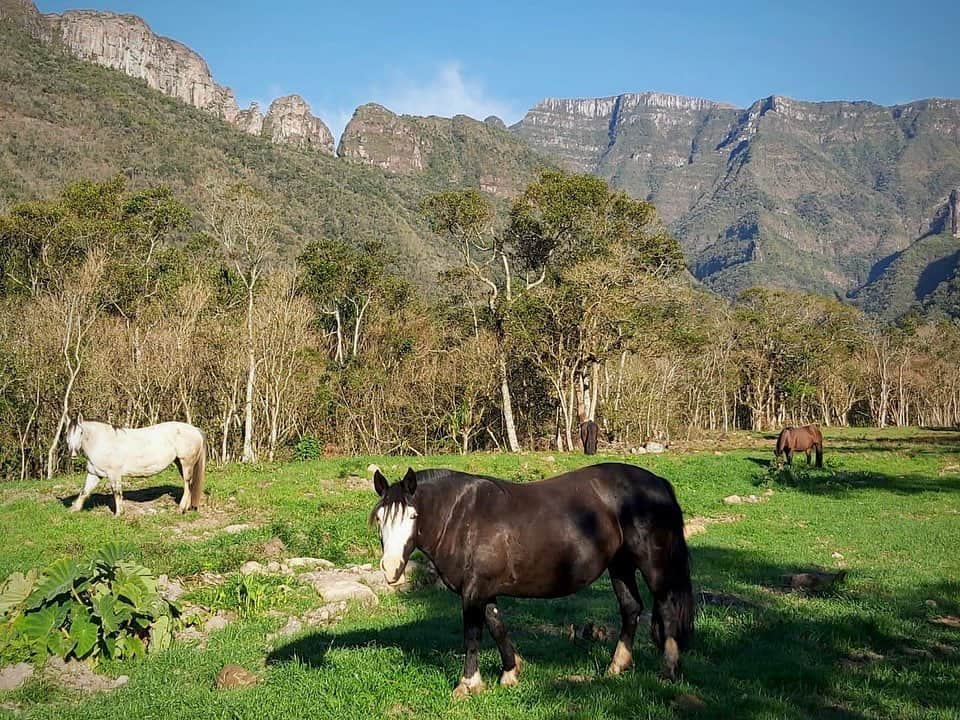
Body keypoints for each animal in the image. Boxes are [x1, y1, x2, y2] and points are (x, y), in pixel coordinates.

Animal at [65, 414, 206, 516]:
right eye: (67, 433)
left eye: (81, 432)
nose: (73, 454)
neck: (103, 442)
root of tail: (195, 430)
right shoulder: (94, 474)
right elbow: (84, 492)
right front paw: (74, 510)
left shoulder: (113, 474)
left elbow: (117, 492)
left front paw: (119, 514)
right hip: (180, 464)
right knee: (190, 485)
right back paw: (187, 508)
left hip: (186, 463)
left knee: (188, 485)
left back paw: (180, 509)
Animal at [372, 462, 692, 696]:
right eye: (379, 518)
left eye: (412, 516)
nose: (391, 568)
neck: (462, 517)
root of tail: (658, 482)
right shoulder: (484, 590)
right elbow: (497, 626)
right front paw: (510, 672)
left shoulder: (473, 591)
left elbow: (472, 634)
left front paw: (468, 684)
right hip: (620, 565)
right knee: (631, 608)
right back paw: (616, 667)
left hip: (654, 566)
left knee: (666, 609)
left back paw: (667, 672)